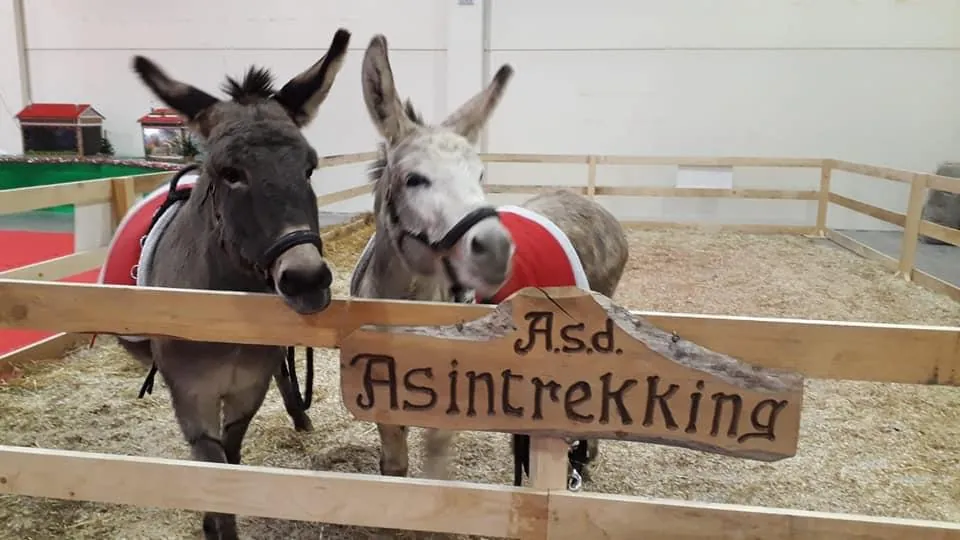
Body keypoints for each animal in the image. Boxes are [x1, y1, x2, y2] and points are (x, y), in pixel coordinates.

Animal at [110, 28, 351, 540]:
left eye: (309, 168)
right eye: (230, 173)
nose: (306, 278)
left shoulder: (245, 393)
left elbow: (232, 461)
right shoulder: (193, 400)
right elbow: (213, 465)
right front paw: (212, 524)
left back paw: (300, 415)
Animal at [349, 34, 630, 488]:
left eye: (480, 175)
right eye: (414, 179)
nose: (498, 248)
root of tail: (586, 202)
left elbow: (433, 473)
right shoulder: (384, 403)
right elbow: (395, 469)